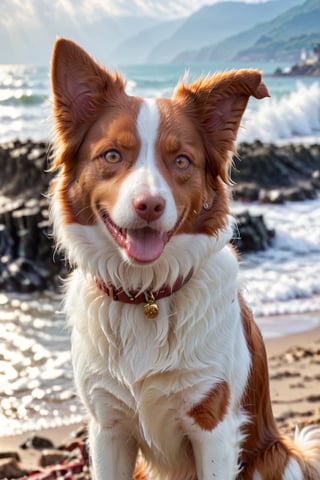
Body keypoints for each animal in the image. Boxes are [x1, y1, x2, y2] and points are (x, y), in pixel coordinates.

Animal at [49, 38, 320, 480]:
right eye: (112, 156)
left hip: (280, 458)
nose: (149, 205)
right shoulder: (107, 428)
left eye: (181, 161)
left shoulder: (214, 426)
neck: (146, 296)